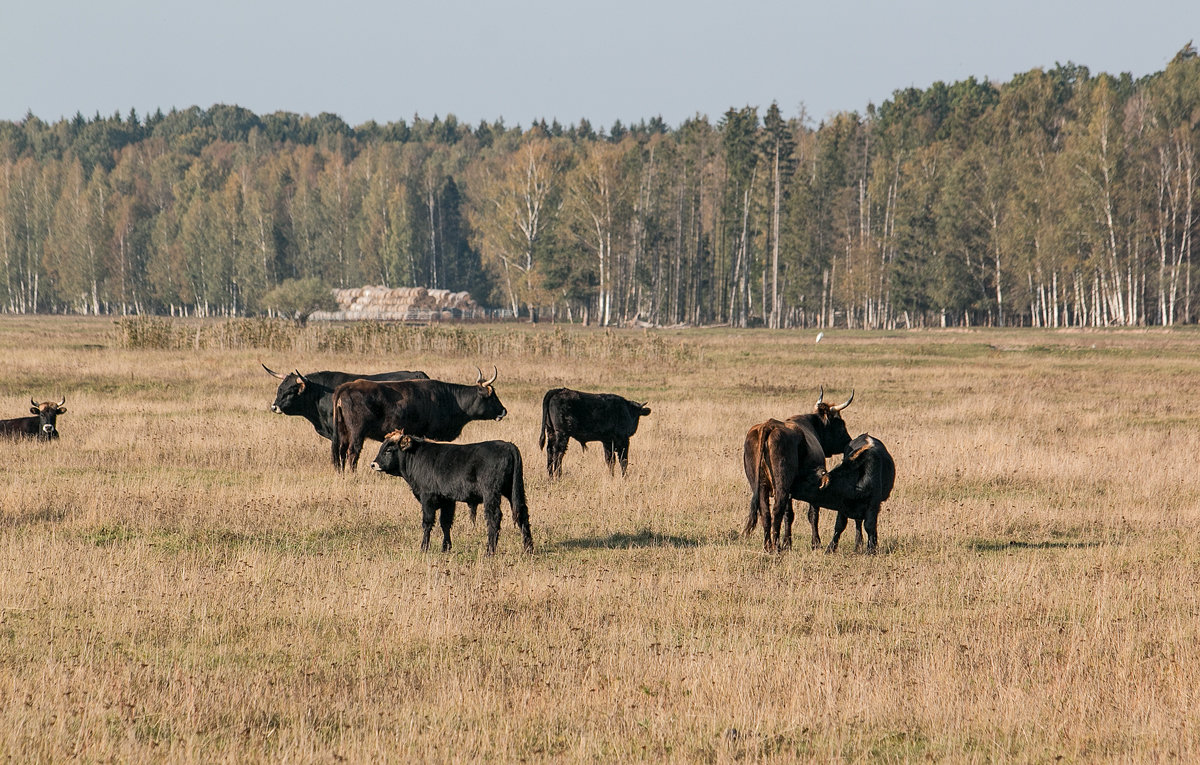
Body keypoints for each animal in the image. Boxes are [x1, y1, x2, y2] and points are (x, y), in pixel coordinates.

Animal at [331, 366, 508, 474]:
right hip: (357, 433)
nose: (503, 411)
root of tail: (346, 387)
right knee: (352, 452)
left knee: (341, 451)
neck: (449, 398)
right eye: (492, 396)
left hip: (343, 432)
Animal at [367, 431, 532, 556]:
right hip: (513, 492)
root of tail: (508, 445)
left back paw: (489, 551)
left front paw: (424, 548)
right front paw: (446, 547)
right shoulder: (448, 500)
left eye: (389, 450)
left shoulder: (427, 498)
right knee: (522, 514)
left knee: (494, 518)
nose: (373, 464)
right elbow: (445, 523)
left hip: (491, 494)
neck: (417, 457)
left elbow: (427, 523)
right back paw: (528, 548)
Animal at [739, 388, 854, 551]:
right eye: (840, 423)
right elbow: (813, 514)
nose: (848, 441)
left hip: (761, 486)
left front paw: (788, 542)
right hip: (781, 484)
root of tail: (769, 425)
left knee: (766, 512)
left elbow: (789, 515)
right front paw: (816, 543)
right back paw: (776, 547)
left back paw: (768, 546)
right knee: (777, 510)